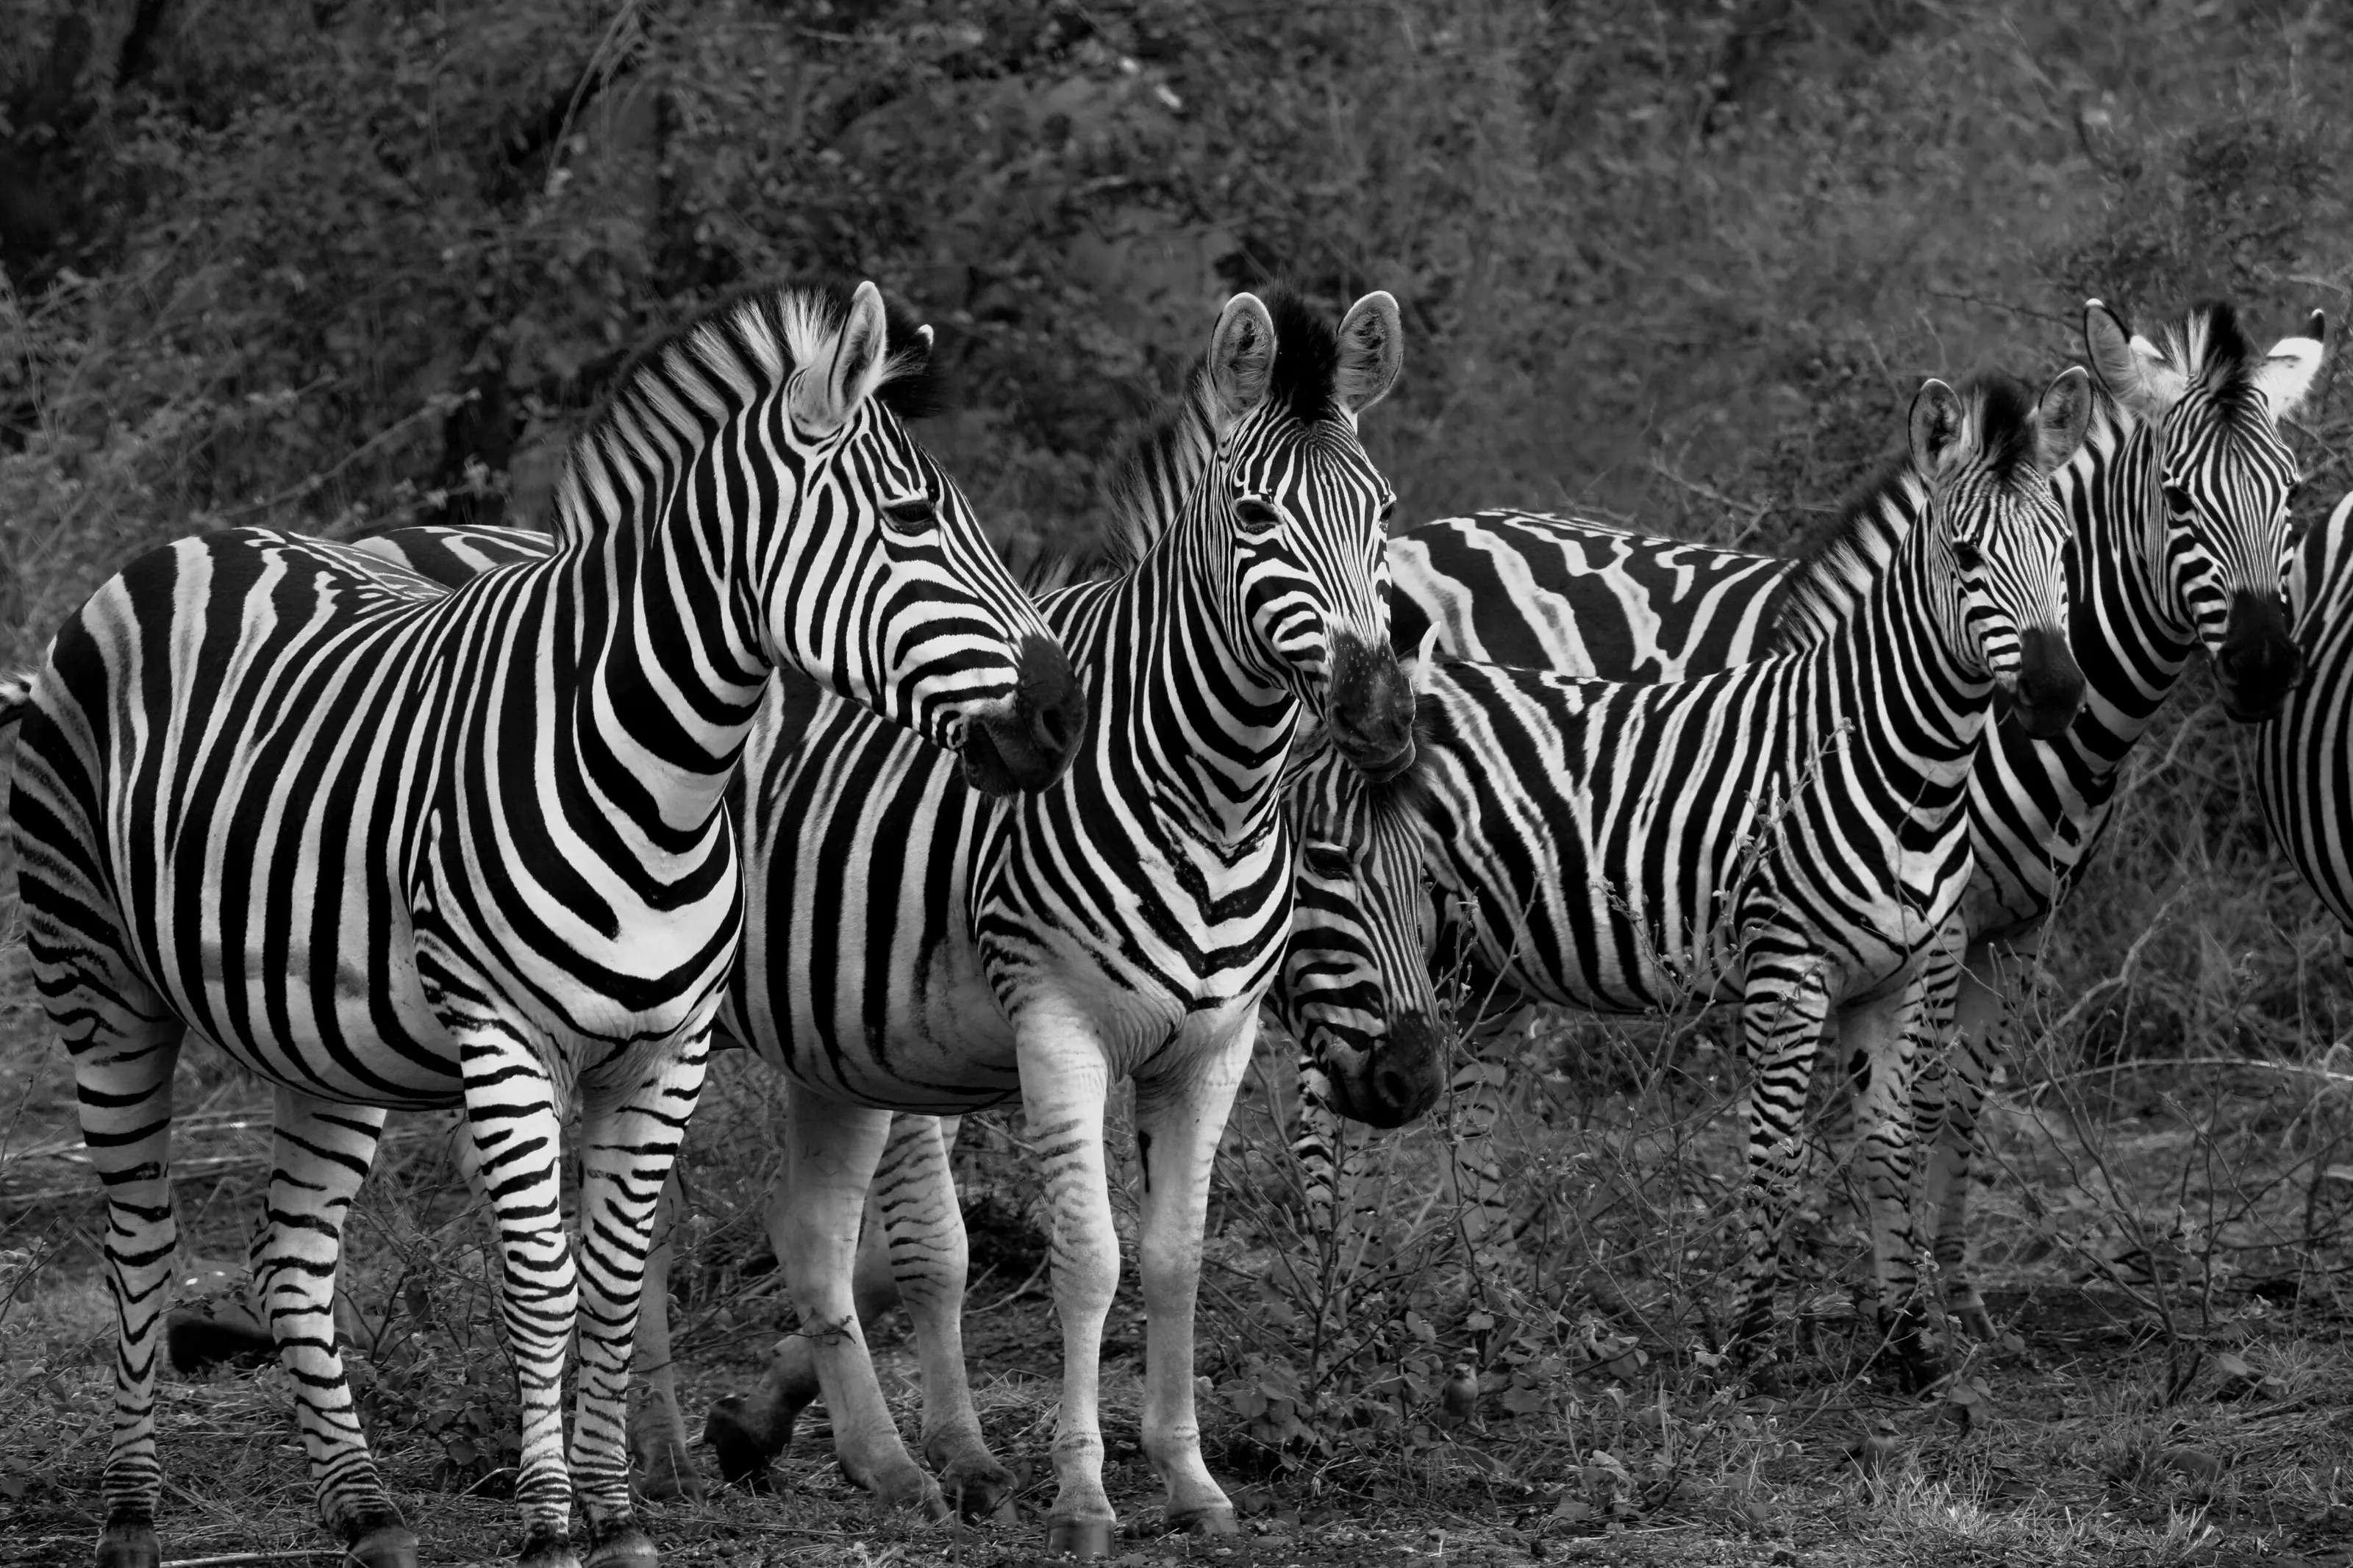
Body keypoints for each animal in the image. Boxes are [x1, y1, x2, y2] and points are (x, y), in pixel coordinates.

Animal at [0, 279, 1085, 1568]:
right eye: (913, 518)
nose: (1066, 717)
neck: (661, 780)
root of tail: (186, 544)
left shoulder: (666, 1050)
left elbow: (613, 1281)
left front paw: (617, 1517)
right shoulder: (507, 1038)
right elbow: (545, 1284)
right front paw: (551, 1524)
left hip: (321, 1038)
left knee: (290, 1259)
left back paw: (366, 1510)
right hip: (99, 988)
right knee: (143, 1247)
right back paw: (130, 1513)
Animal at [1364, 299, 2324, 1338]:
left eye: (2291, 495)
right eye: (2178, 499)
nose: (2265, 666)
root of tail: (1426, 532)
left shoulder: (2017, 932)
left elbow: (1958, 1105)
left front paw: (1951, 1294)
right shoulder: (1937, 927)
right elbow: (1918, 1101)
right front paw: (1905, 1298)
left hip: (1489, 937)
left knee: (1469, 1088)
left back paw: (1494, 1303)